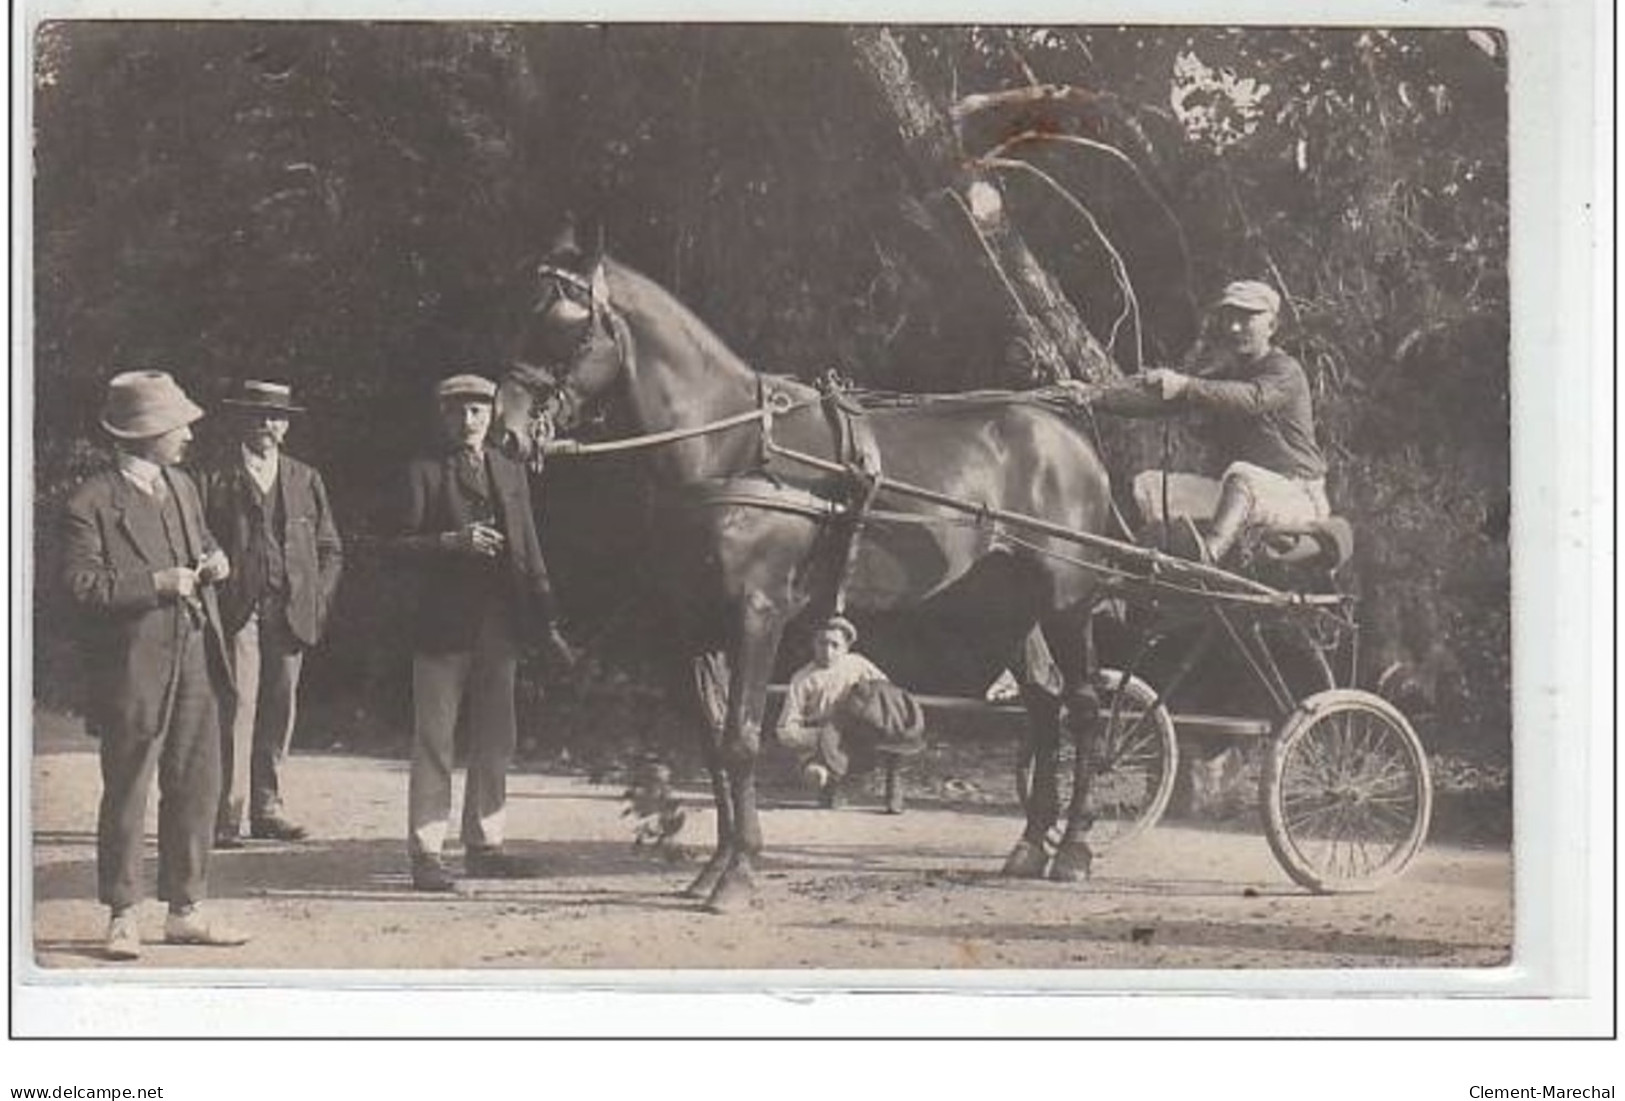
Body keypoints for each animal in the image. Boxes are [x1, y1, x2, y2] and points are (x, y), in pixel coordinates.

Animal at [497, 230, 1118, 915]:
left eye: (563, 324)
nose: (506, 430)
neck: (734, 449)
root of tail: (1073, 442)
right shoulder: (696, 625)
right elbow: (714, 744)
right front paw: (715, 867)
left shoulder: (758, 613)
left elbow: (741, 740)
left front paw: (739, 873)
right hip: (1004, 612)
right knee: (1044, 703)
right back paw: (1031, 844)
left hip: (1067, 604)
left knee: (1084, 707)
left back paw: (1074, 850)